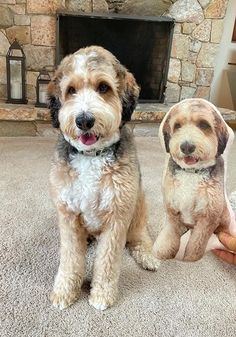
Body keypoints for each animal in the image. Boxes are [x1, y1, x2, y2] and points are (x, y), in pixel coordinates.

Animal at [47, 45, 159, 310]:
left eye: (103, 87)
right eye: (71, 90)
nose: (84, 120)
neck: (91, 156)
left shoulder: (117, 217)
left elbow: (107, 261)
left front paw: (102, 294)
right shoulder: (68, 213)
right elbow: (70, 258)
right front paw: (65, 290)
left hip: (138, 205)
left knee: (139, 237)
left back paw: (147, 256)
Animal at [153, 98, 236, 262]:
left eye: (204, 125)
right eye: (177, 126)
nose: (186, 147)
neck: (191, 173)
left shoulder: (207, 218)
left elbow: (196, 245)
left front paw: (190, 259)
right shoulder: (173, 211)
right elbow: (170, 237)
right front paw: (164, 253)